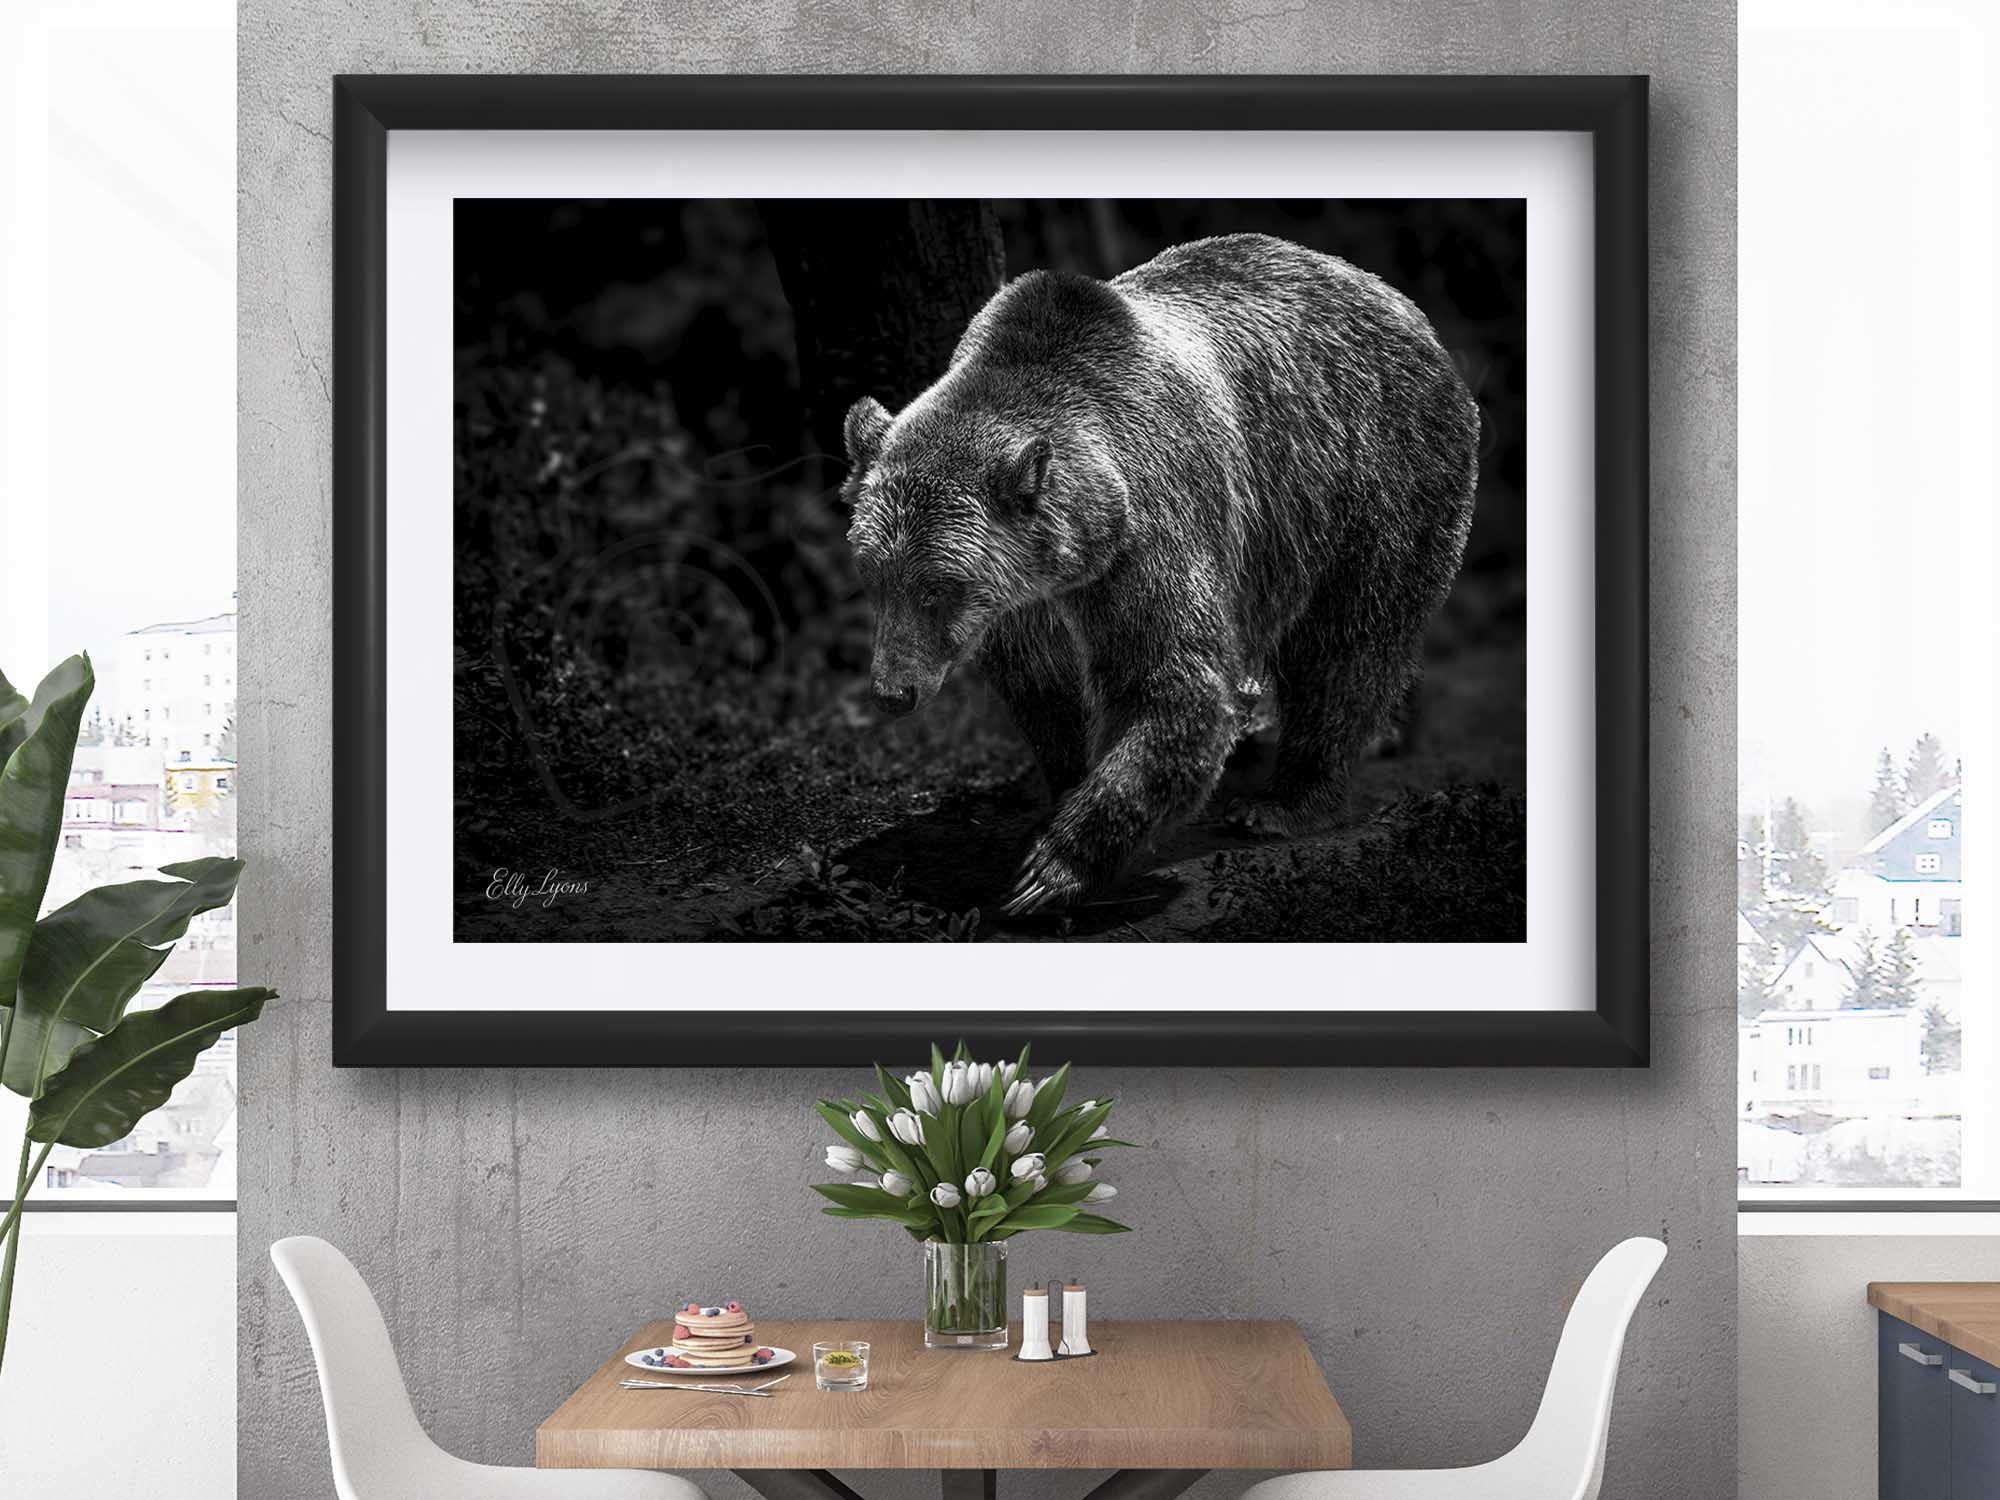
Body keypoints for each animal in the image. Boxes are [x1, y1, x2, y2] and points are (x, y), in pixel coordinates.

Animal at [840, 232, 1479, 916]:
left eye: (938, 588)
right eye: (875, 577)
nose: (893, 691)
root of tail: (1399, 303)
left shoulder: (1152, 530)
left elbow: (1172, 683)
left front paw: (1049, 870)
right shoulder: (1025, 604)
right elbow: (1048, 692)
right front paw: (1059, 793)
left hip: (1371, 482)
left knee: (1348, 644)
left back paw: (1285, 799)